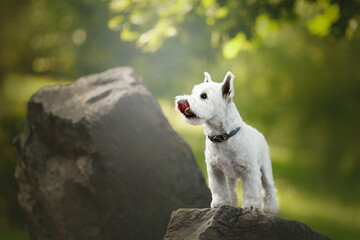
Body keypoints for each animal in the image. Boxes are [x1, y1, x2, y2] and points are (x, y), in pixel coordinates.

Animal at [176, 71, 280, 214]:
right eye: (193, 92)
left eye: (204, 96)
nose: (181, 102)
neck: (223, 136)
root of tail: (260, 134)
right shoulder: (215, 171)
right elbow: (219, 188)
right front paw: (219, 203)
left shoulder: (250, 171)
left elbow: (251, 190)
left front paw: (250, 206)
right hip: (230, 176)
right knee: (230, 188)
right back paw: (231, 201)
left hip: (265, 169)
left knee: (269, 187)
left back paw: (271, 208)